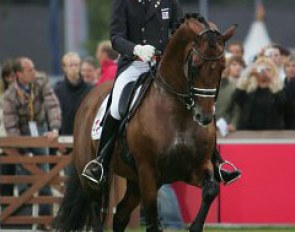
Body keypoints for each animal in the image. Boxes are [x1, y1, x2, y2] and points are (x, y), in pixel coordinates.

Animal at [55, 13, 236, 231]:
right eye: (195, 66)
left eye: (223, 66)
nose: (205, 117)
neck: (178, 114)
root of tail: (88, 99)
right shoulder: (148, 174)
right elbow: (153, 223)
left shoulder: (197, 167)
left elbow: (211, 190)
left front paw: (194, 226)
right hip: (94, 181)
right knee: (98, 213)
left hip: (133, 182)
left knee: (120, 215)